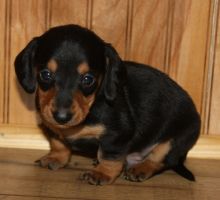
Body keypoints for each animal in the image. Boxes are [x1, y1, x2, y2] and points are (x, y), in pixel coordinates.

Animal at [13, 24, 200, 185]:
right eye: (45, 74)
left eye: (88, 79)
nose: (61, 117)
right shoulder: (52, 128)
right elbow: (58, 143)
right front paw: (56, 158)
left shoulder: (116, 135)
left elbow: (109, 156)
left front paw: (102, 173)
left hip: (175, 140)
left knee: (159, 160)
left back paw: (140, 169)